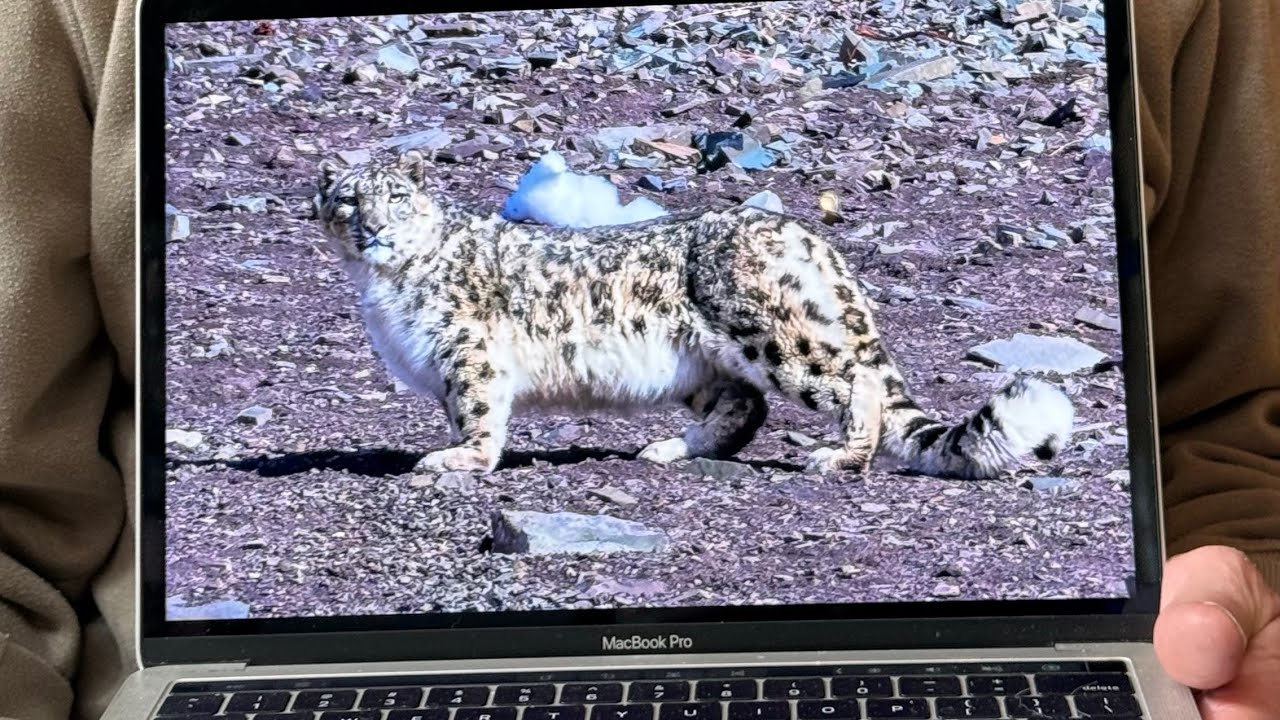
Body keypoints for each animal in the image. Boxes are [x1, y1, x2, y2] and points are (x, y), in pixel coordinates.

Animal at [313, 150, 1075, 479]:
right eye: (348, 198)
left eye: (396, 197)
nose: (372, 227)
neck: (380, 289)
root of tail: (808, 236)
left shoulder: (468, 354)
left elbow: (476, 412)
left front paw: (457, 458)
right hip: (701, 362)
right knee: (743, 408)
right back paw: (671, 448)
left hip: (775, 338)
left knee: (853, 380)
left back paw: (839, 455)